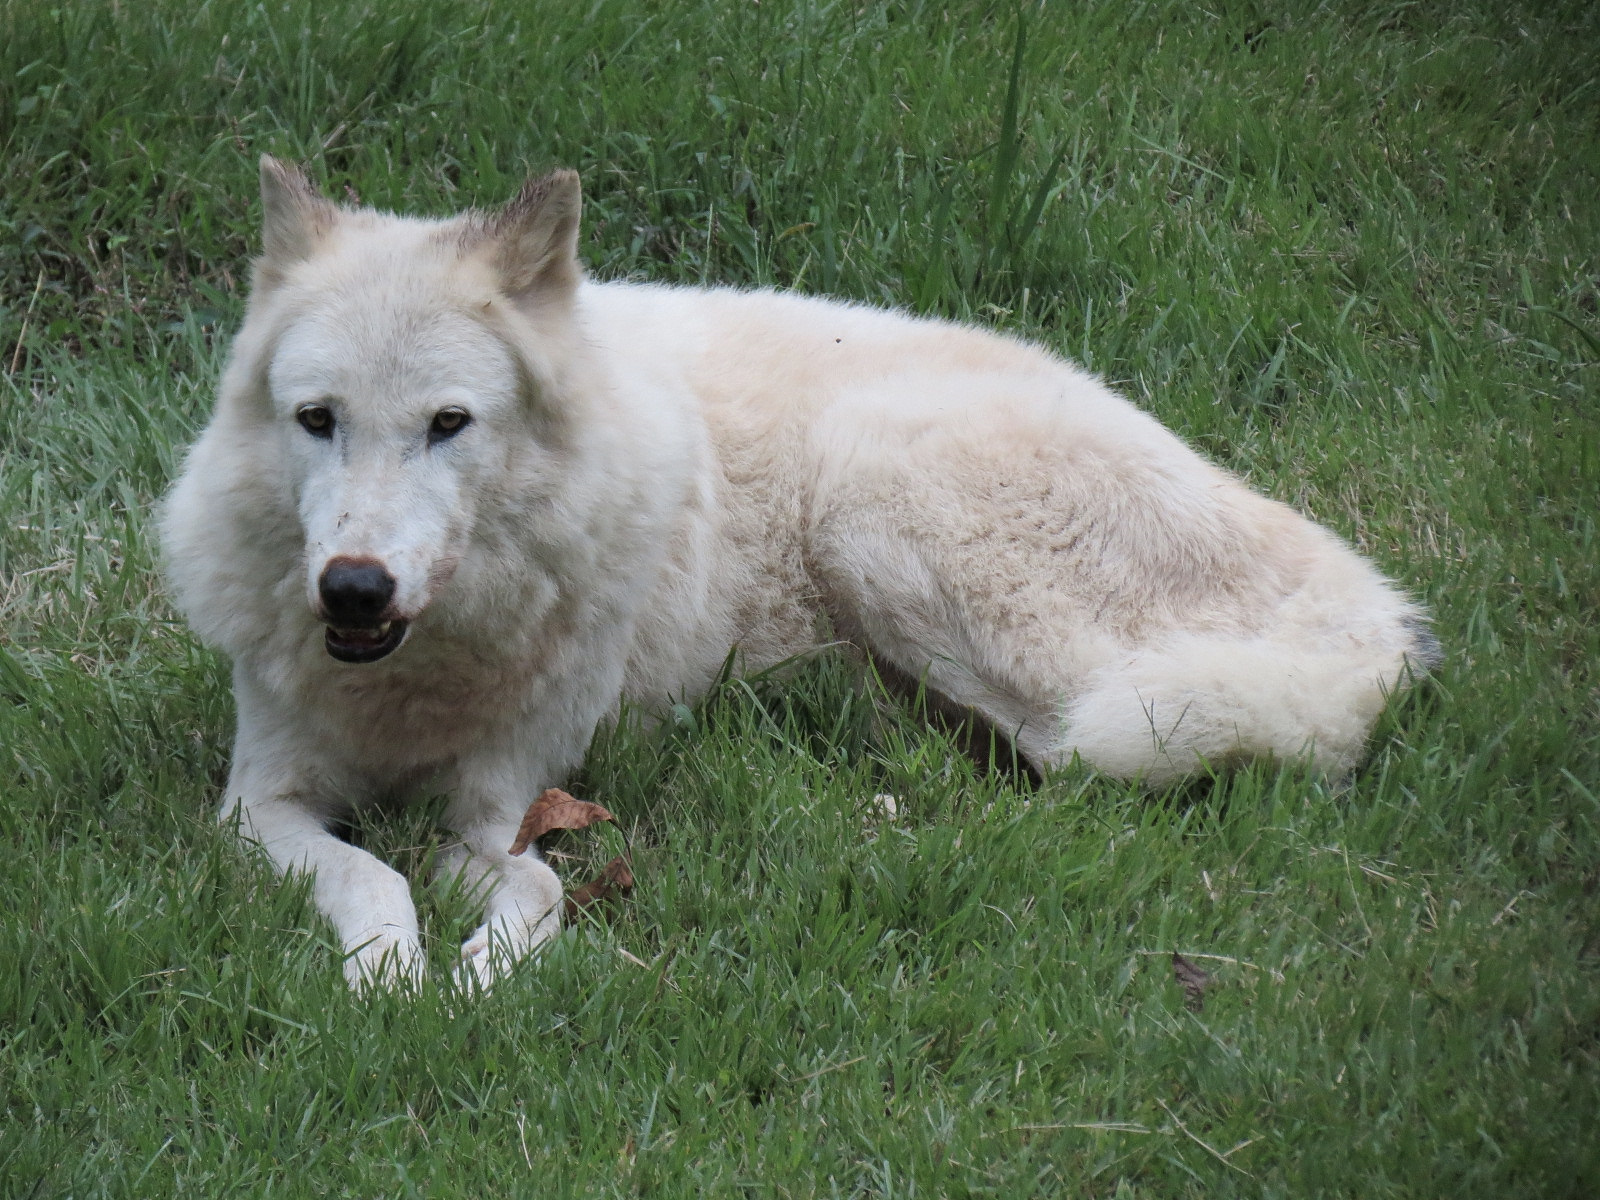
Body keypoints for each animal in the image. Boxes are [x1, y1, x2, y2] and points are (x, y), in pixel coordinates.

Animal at [162, 157, 1436, 990]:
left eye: (447, 425)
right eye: (318, 419)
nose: (353, 588)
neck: (415, 675)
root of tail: (1372, 609)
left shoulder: (503, 810)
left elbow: (541, 895)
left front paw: (474, 980)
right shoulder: (256, 805)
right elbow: (368, 877)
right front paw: (388, 974)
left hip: (880, 505)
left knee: (1066, 766)